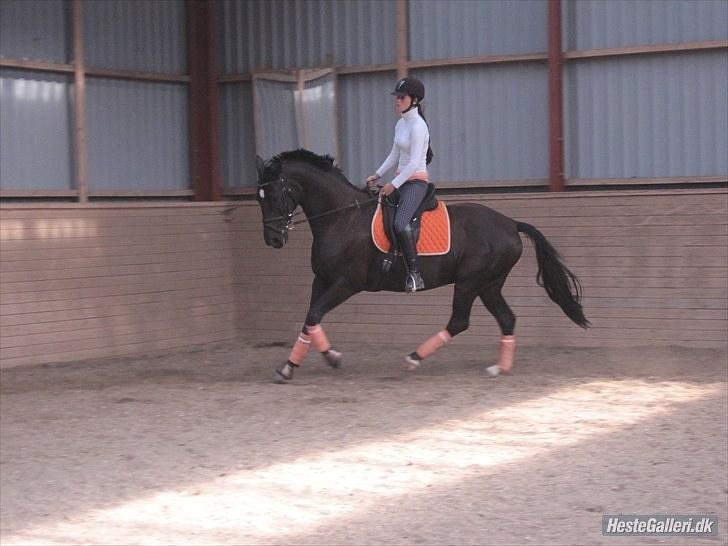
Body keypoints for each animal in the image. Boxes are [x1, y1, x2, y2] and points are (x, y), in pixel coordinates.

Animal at [253, 147, 588, 380]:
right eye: (258, 198)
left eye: (274, 194)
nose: (274, 240)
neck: (341, 217)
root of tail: (510, 223)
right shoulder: (321, 280)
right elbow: (309, 319)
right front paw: (301, 363)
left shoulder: (346, 284)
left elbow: (314, 314)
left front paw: (315, 360)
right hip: (489, 285)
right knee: (506, 318)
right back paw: (498, 368)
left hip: (470, 282)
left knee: (460, 321)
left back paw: (414, 358)